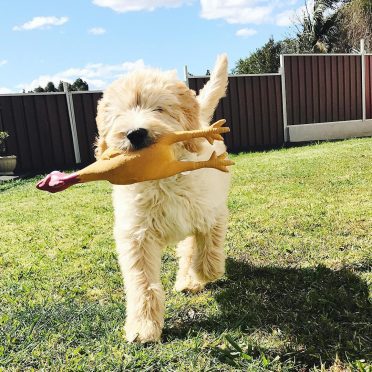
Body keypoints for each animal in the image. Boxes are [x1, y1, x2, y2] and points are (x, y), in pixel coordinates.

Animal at [94, 53, 231, 342]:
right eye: (119, 116)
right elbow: (142, 282)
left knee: (191, 248)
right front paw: (143, 326)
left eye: (159, 109)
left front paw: (205, 272)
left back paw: (191, 278)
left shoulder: (211, 211)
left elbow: (208, 248)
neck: (161, 175)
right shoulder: (136, 235)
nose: (135, 133)